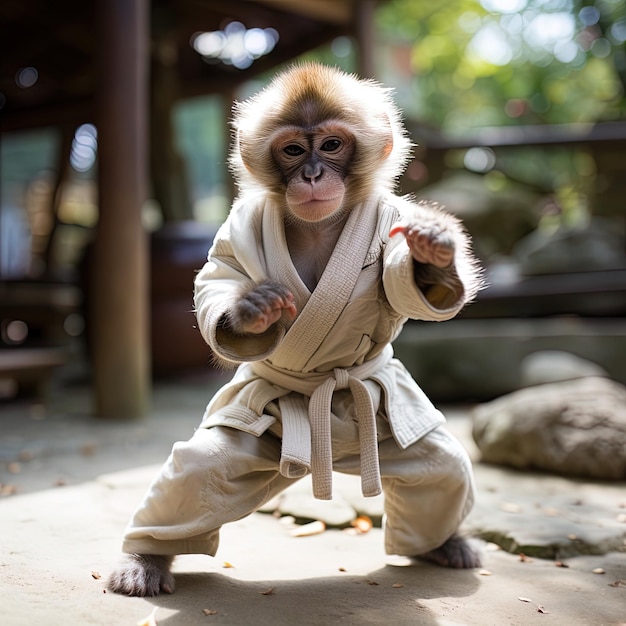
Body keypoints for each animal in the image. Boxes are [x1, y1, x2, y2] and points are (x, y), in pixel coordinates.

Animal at [107, 62, 482, 596]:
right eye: (292, 150)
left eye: (331, 145)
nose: (311, 174)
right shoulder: (238, 226)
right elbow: (217, 281)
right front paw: (251, 312)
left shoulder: (390, 220)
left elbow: (408, 285)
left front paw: (433, 255)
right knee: (195, 478)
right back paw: (146, 556)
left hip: (389, 426)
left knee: (440, 473)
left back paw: (443, 542)